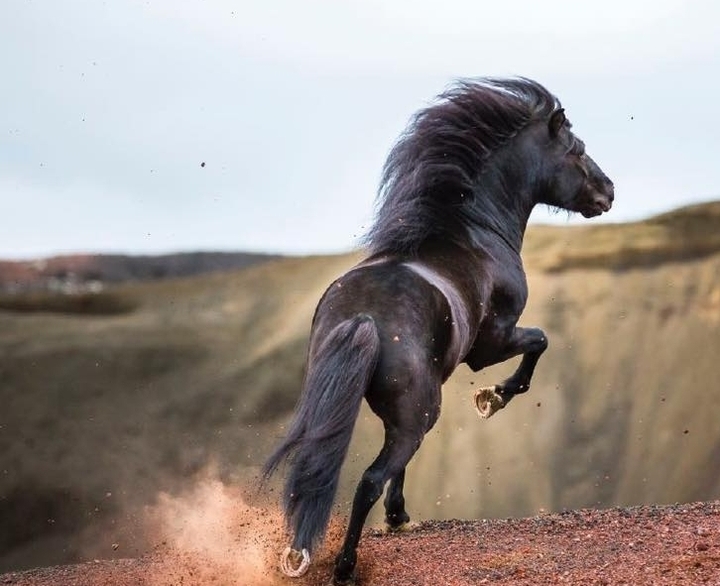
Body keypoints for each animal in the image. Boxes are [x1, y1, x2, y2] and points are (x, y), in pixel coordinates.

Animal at [263, 77, 614, 585]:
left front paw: (399, 517)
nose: (609, 191)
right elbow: (539, 342)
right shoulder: (491, 343)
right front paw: (492, 398)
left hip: (376, 410)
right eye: (577, 149)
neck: (473, 230)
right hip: (419, 412)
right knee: (371, 478)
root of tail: (363, 318)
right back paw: (345, 566)